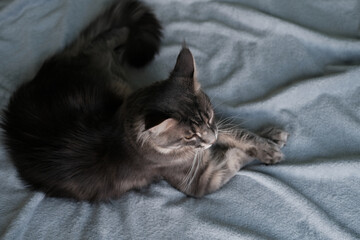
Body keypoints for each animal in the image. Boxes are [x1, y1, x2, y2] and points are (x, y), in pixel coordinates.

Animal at [1, 0, 288, 202]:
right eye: (188, 136)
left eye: (207, 116)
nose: (208, 138)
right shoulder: (201, 180)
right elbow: (234, 157)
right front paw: (268, 151)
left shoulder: (215, 128)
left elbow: (237, 133)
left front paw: (268, 138)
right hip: (107, 75)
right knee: (104, 40)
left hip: (111, 80)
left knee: (106, 37)